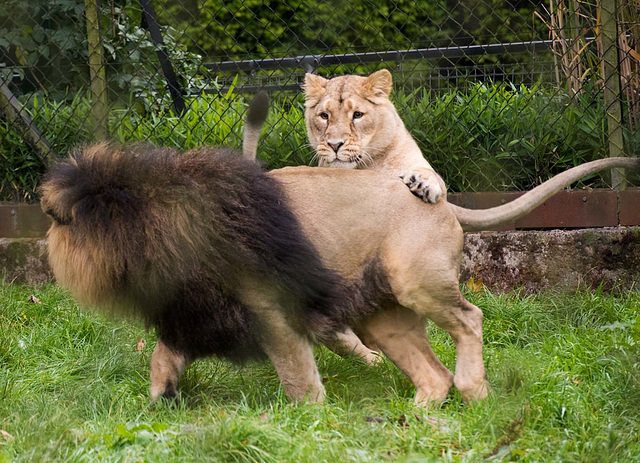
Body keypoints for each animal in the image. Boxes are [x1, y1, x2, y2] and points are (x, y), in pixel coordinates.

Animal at [41, 98, 490, 406]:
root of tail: (443, 201)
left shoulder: (270, 308)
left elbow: (297, 374)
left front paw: (310, 420)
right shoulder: (198, 312)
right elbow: (161, 360)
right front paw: (158, 404)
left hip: (417, 282)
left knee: (470, 319)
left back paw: (474, 391)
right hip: (384, 316)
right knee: (434, 376)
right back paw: (417, 414)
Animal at [302, 70, 636, 231]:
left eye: (357, 115)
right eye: (324, 116)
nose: (334, 145)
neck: (366, 165)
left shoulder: (416, 162)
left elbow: (429, 177)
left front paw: (421, 184)